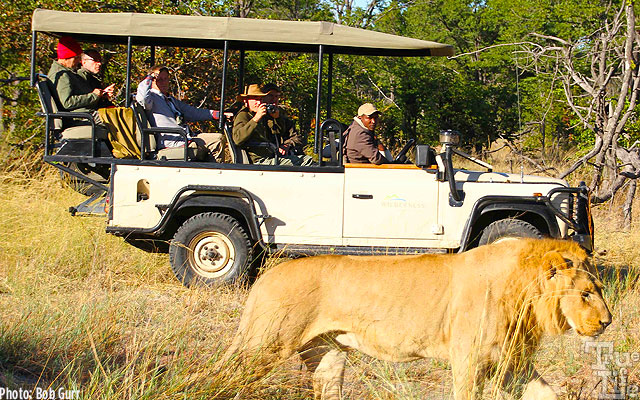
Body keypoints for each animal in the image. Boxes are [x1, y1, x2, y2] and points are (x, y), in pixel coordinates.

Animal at [224, 239, 608, 398]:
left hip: (327, 351)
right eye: (587, 294)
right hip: (263, 344)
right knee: (224, 374)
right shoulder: (469, 359)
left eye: (600, 289)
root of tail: (265, 277)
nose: (608, 323)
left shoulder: (510, 362)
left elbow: (545, 394)